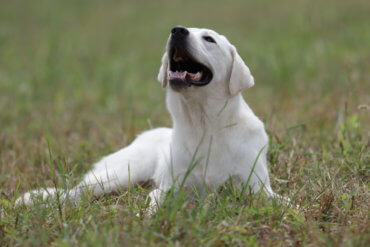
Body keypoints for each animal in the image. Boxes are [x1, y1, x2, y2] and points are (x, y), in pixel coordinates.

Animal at [16, 26, 280, 208]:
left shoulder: (256, 186)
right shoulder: (169, 188)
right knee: (76, 192)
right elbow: (154, 204)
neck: (207, 125)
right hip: (119, 174)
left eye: (209, 39)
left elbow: (280, 202)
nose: (177, 31)